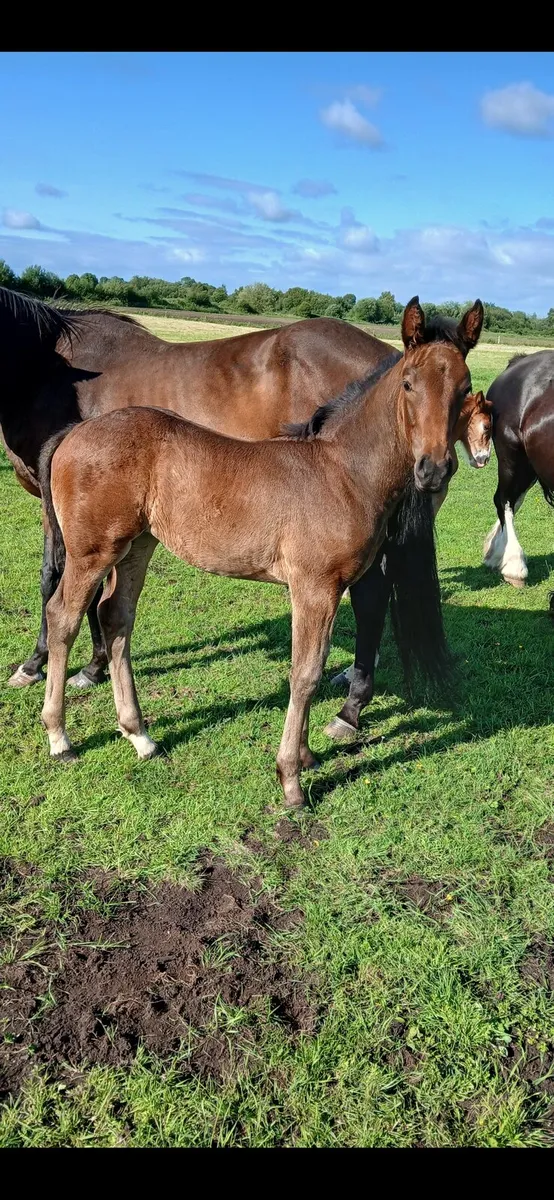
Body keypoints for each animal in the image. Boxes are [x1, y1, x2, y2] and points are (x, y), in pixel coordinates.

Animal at [38, 297, 475, 808]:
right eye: (408, 383)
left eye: (465, 388)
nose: (434, 469)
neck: (342, 471)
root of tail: (73, 432)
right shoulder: (314, 587)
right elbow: (305, 674)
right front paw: (291, 780)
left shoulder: (325, 590)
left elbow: (313, 668)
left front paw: (306, 756)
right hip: (92, 551)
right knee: (63, 617)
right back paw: (60, 738)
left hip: (136, 546)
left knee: (115, 618)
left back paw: (140, 736)